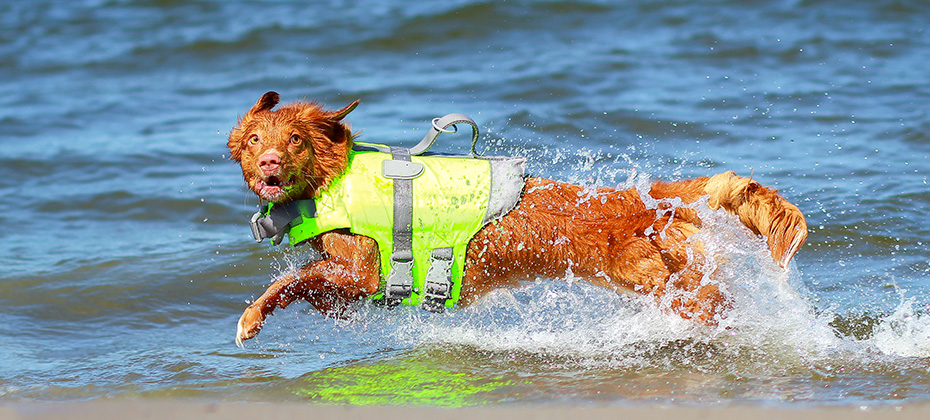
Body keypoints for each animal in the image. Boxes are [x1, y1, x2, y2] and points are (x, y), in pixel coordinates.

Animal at [227, 91, 804, 344]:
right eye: (254, 139)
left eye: (294, 139)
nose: (269, 162)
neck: (331, 179)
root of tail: (640, 198)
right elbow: (313, 287)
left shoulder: (364, 269)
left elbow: (293, 279)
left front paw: (252, 317)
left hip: (664, 283)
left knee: (717, 304)